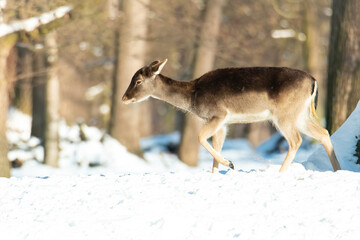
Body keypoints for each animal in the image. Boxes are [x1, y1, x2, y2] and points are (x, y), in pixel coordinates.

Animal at [121, 59, 340, 173]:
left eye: (138, 81)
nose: (124, 98)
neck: (193, 96)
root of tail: (313, 81)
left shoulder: (219, 114)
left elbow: (200, 137)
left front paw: (231, 163)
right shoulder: (223, 124)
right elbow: (216, 147)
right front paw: (218, 171)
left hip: (285, 114)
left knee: (296, 140)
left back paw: (279, 172)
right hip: (301, 115)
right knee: (323, 132)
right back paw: (338, 169)